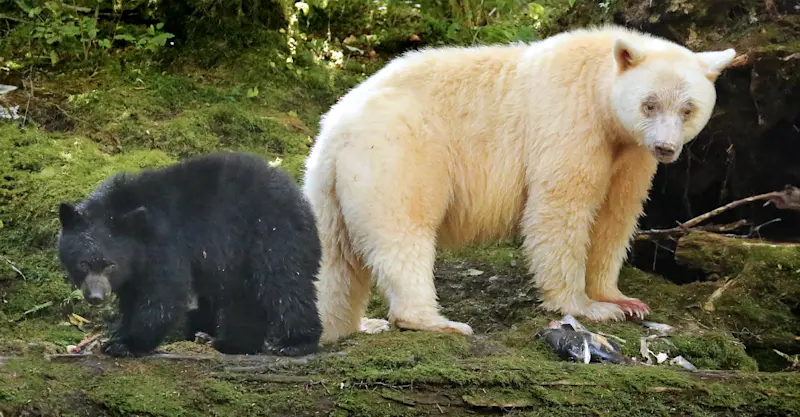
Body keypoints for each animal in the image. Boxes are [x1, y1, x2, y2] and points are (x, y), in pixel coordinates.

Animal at [57, 151, 323, 357]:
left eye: (110, 264)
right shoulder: (137, 262)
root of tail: (300, 196)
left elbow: (164, 293)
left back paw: (295, 343)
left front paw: (127, 343)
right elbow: (133, 294)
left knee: (285, 284)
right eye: (83, 263)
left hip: (273, 233)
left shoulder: (165, 243)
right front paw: (119, 332)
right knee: (244, 298)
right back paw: (234, 343)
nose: (95, 296)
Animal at [301, 25, 738, 343]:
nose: (665, 147)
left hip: (331, 188)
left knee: (335, 261)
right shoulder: (571, 122)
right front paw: (584, 305)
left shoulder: (630, 155)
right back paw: (432, 320)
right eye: (650, 103)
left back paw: (341, 327)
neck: (600, 92)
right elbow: (560, 208)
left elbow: (616, 216)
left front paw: (622, 299)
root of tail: (333, 129)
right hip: (398, 156)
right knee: (402, 231)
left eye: (688, 109)